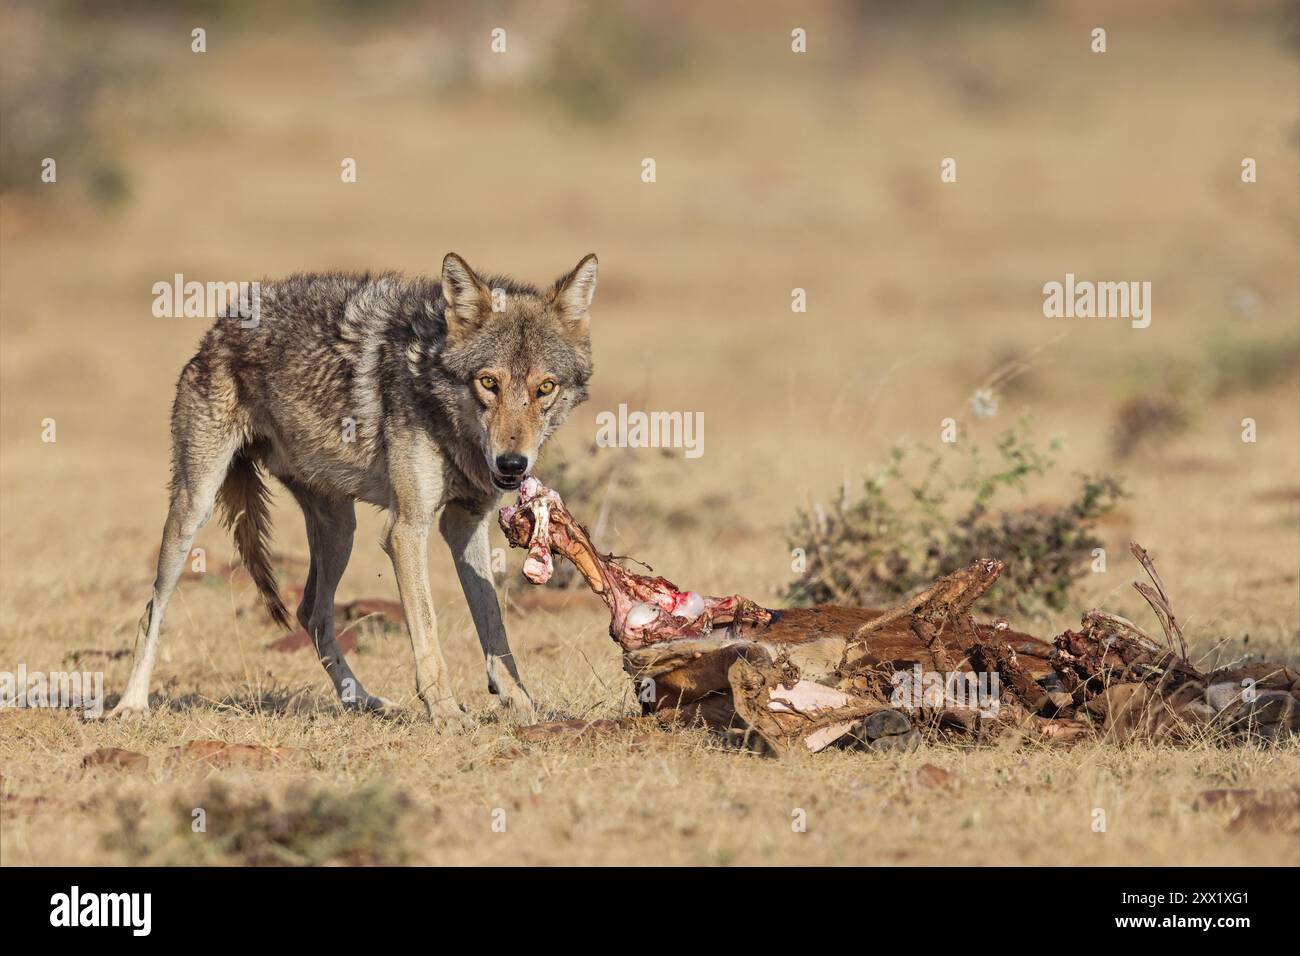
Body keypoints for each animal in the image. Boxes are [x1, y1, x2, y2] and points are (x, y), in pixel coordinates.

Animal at [111, 251, 598, 728]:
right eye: (489, 383)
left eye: (545, 388)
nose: (512, 465)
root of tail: (220, 325)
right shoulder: (407, 530)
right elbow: (427, 630)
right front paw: (445, 712)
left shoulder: (464, 522)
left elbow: (493, 624)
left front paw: (520, 701)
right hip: (194, 507)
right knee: (153, 610)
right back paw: (131, 706)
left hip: (341, 529)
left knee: (312, 613)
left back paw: (364, 701)